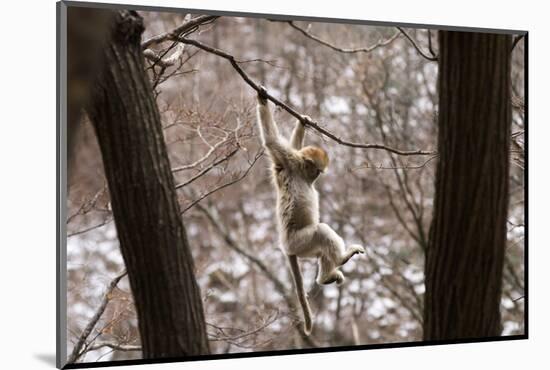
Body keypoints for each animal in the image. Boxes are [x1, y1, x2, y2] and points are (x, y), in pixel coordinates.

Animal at [256, 86, 366, 336]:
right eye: (317, 171)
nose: (317, 177)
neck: (299, 171)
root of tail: (286, 246)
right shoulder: (288, 161)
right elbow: (271, 141)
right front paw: (262, 99)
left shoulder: (282, 165)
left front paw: (303, 122)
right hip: (300, 241)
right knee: (322, 231)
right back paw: (334, 266)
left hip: (304, 248)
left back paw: (328, 274)